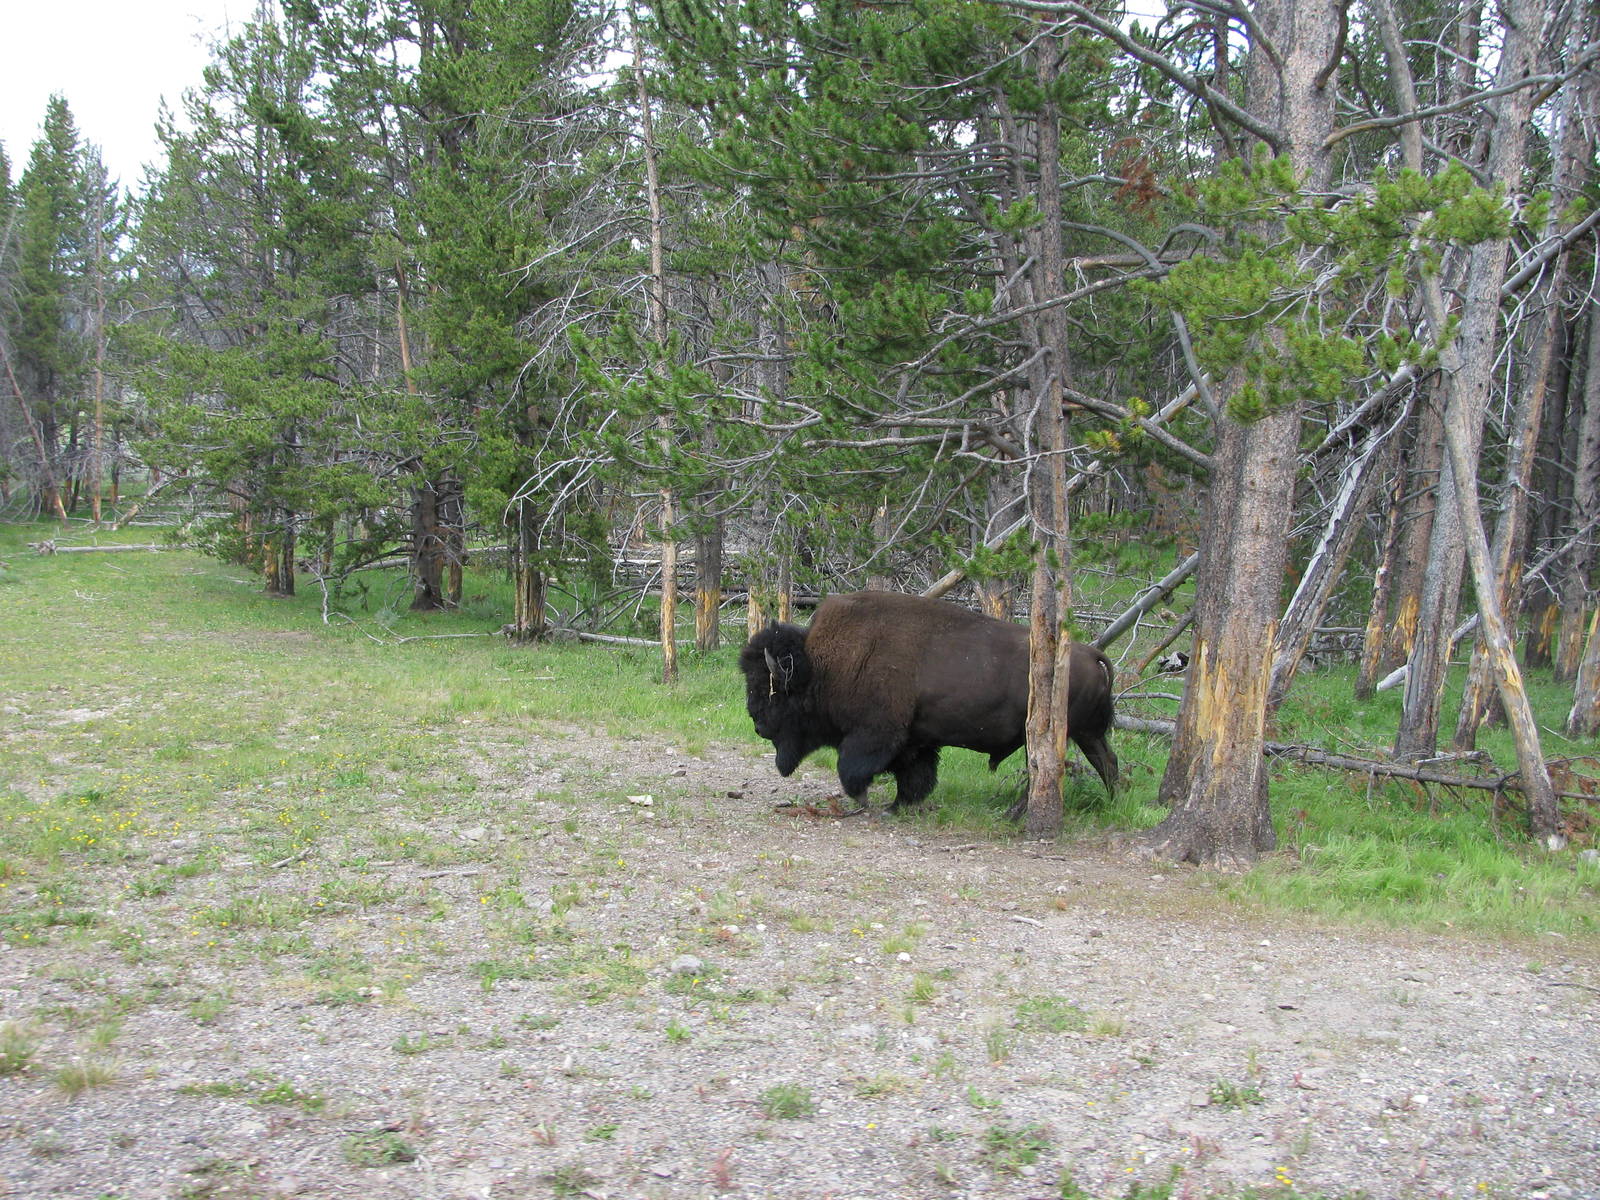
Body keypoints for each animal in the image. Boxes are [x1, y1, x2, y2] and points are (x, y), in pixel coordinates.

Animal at [738, 590, 1117, 811]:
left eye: (767, 689)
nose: (756, 723)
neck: (822, 665)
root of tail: (1091, 654)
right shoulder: (915, 740)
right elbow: (915, 775)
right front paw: (899, 805)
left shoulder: (875, 733)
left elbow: (853, 766)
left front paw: (863, 800)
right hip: (1087, 733)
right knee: (1105, 762)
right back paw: (1114, 802)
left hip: (1054, 732)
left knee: (1047, 770)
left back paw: (1016, 814)